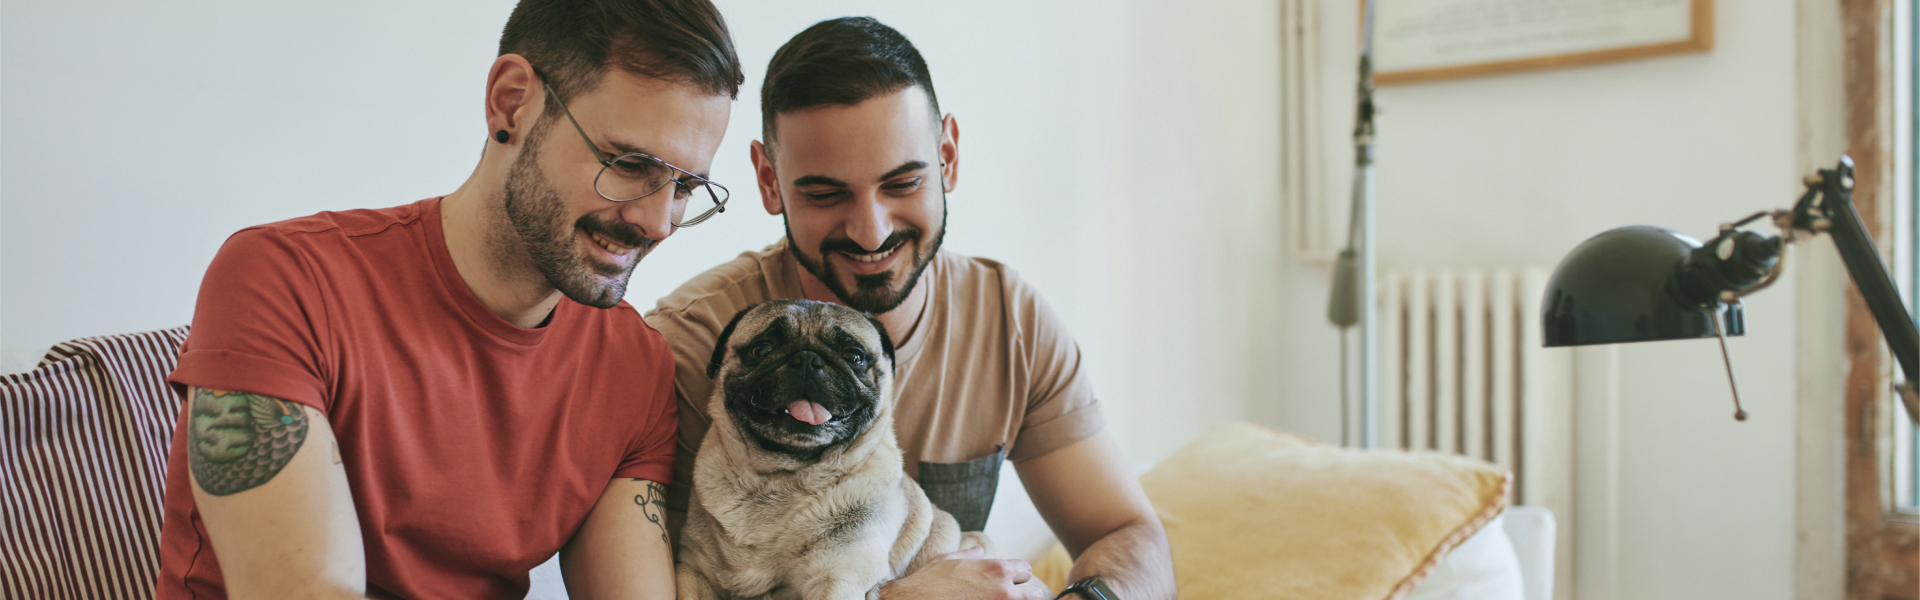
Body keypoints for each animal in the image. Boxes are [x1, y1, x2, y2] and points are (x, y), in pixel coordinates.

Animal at [679, 300, 990, 600]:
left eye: (854, 356)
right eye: (762, 349)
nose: (806, 359)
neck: (781, 478)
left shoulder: (837, 579)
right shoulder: (693, 571)